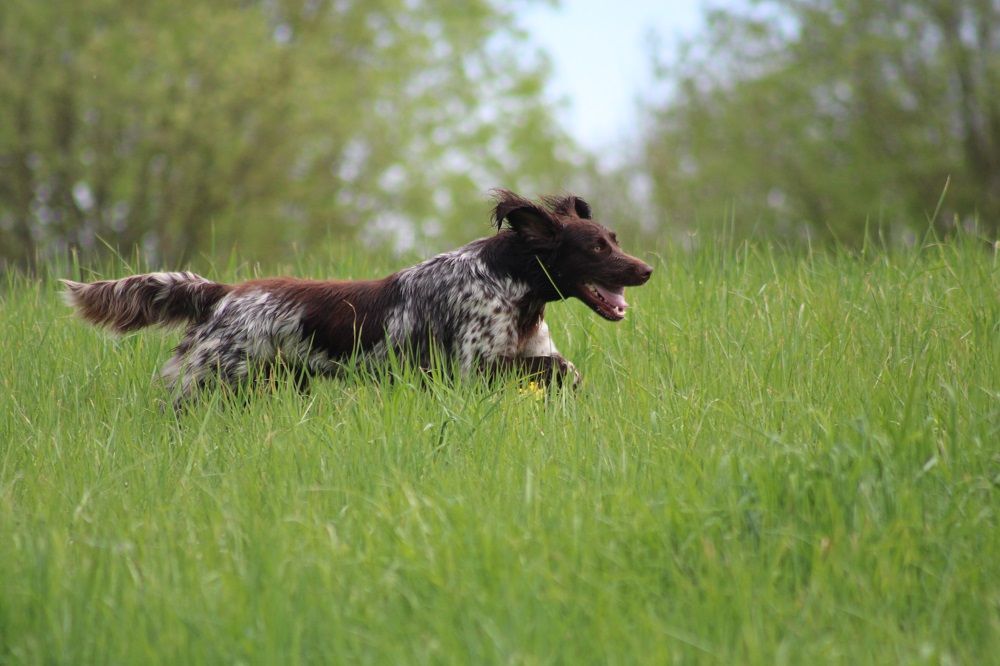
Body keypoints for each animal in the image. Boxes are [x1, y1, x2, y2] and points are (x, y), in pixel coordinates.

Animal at [64, 189, 656, 402]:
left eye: (615, 239)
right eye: (596, 247)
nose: (647, 269)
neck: (510, 286)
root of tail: (225, 293)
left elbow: (563, 370)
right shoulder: (473, 367)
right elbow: (557, 368)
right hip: (212, 381)